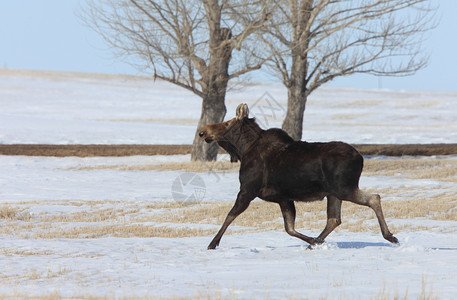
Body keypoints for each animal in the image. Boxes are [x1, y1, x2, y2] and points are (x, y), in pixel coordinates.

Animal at [198, 103, 398, 248]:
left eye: (226, 124)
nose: (203, 132)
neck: (243, 150)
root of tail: (360, 158)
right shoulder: (283, 197)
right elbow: (289, 228)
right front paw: (313, 241)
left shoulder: (248, 189)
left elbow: (230, 216)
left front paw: (213, 243)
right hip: (334, 193)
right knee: (334, 219)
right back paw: (316, 241)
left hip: (344, 188)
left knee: (374, 198)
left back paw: (390, 236)